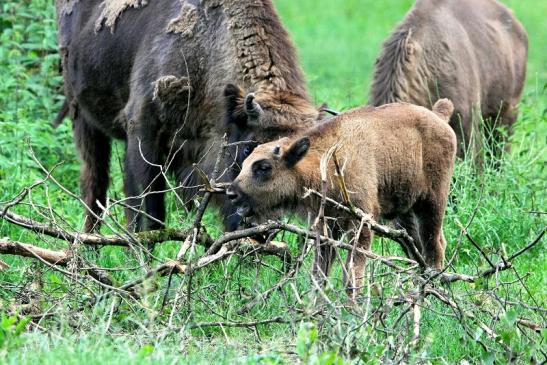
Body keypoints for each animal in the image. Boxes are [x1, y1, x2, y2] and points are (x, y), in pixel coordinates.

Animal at [54, 0, 322, 232]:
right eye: (248, 148)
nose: (263, 228)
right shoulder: (142, 130)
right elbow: (151, 209)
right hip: (83, 119)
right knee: (95, 183)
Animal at [227, 99, 458, 296]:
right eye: (246, 163)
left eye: (264, 167)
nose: (232, 193)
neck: (325, 161)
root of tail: (438, 117)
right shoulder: (325, 228)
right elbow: (319, 274)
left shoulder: (361, 225)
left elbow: (352, 274)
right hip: (405, 214)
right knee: (418, 247)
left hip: (432, 203)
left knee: (434, 246)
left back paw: (432, 289)